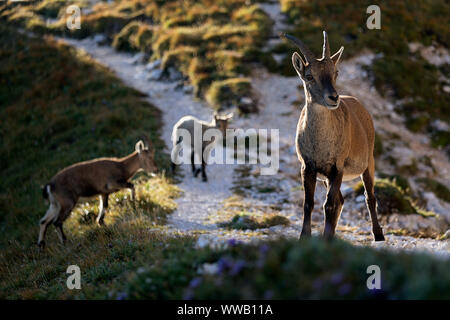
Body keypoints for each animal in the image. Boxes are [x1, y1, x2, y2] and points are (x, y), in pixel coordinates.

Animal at [284, 31, 384, 240]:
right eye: (309, 76)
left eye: (335, 72)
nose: (333, 98)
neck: (320, 143)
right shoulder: (308, 167)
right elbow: (309, 204)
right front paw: (304, 236)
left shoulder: (337, 167)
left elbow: (329, 205)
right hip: (327, 178)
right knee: (341, 200)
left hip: (368, 162)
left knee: (369, 197)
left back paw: (378, 234)